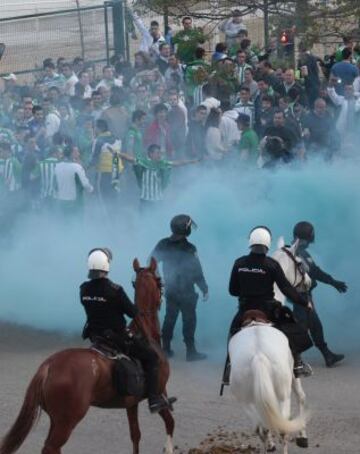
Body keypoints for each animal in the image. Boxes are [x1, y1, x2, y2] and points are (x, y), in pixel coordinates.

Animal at [0, 258, 174, 454]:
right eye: (160, 282)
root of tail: (48, 366)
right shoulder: (160, 392)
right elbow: (170, 422)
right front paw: (169, 447)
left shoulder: (131, 404)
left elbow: (135, 435)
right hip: (66, 422)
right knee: (51, 447)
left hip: (56, 420)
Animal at [229, 239, 310, 452]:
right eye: (300, 262)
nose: (309, 282)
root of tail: (258, 356)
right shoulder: (294, 375)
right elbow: (302, 397)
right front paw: (303, 436)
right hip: (282, 395)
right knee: (282, 427)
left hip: (247, 401)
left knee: (262, 427)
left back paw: (269, 445)